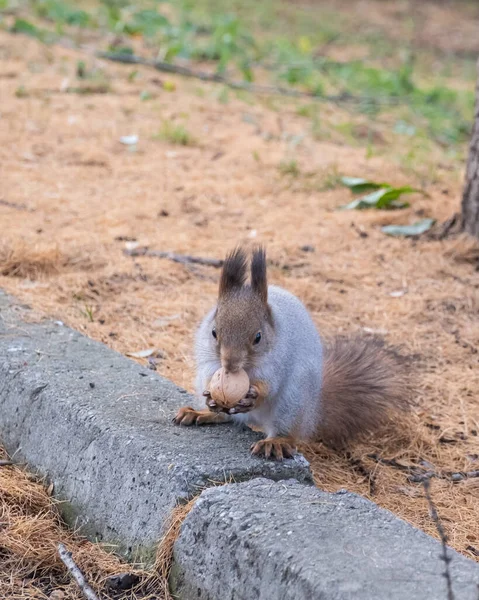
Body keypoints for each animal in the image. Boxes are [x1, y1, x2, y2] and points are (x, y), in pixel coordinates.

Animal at [174, 246, 410, 462]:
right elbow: (209, 373)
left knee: (287, 431)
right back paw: (202, 413)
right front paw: (210, 398)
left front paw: (253, 395)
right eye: (214, 332)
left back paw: (276, 442)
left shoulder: (278, 362)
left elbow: (269, 387)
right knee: (227, 417)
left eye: (258, 337)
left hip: (293, 401)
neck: (245, 368)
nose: (230, 365)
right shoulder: (208, 358)